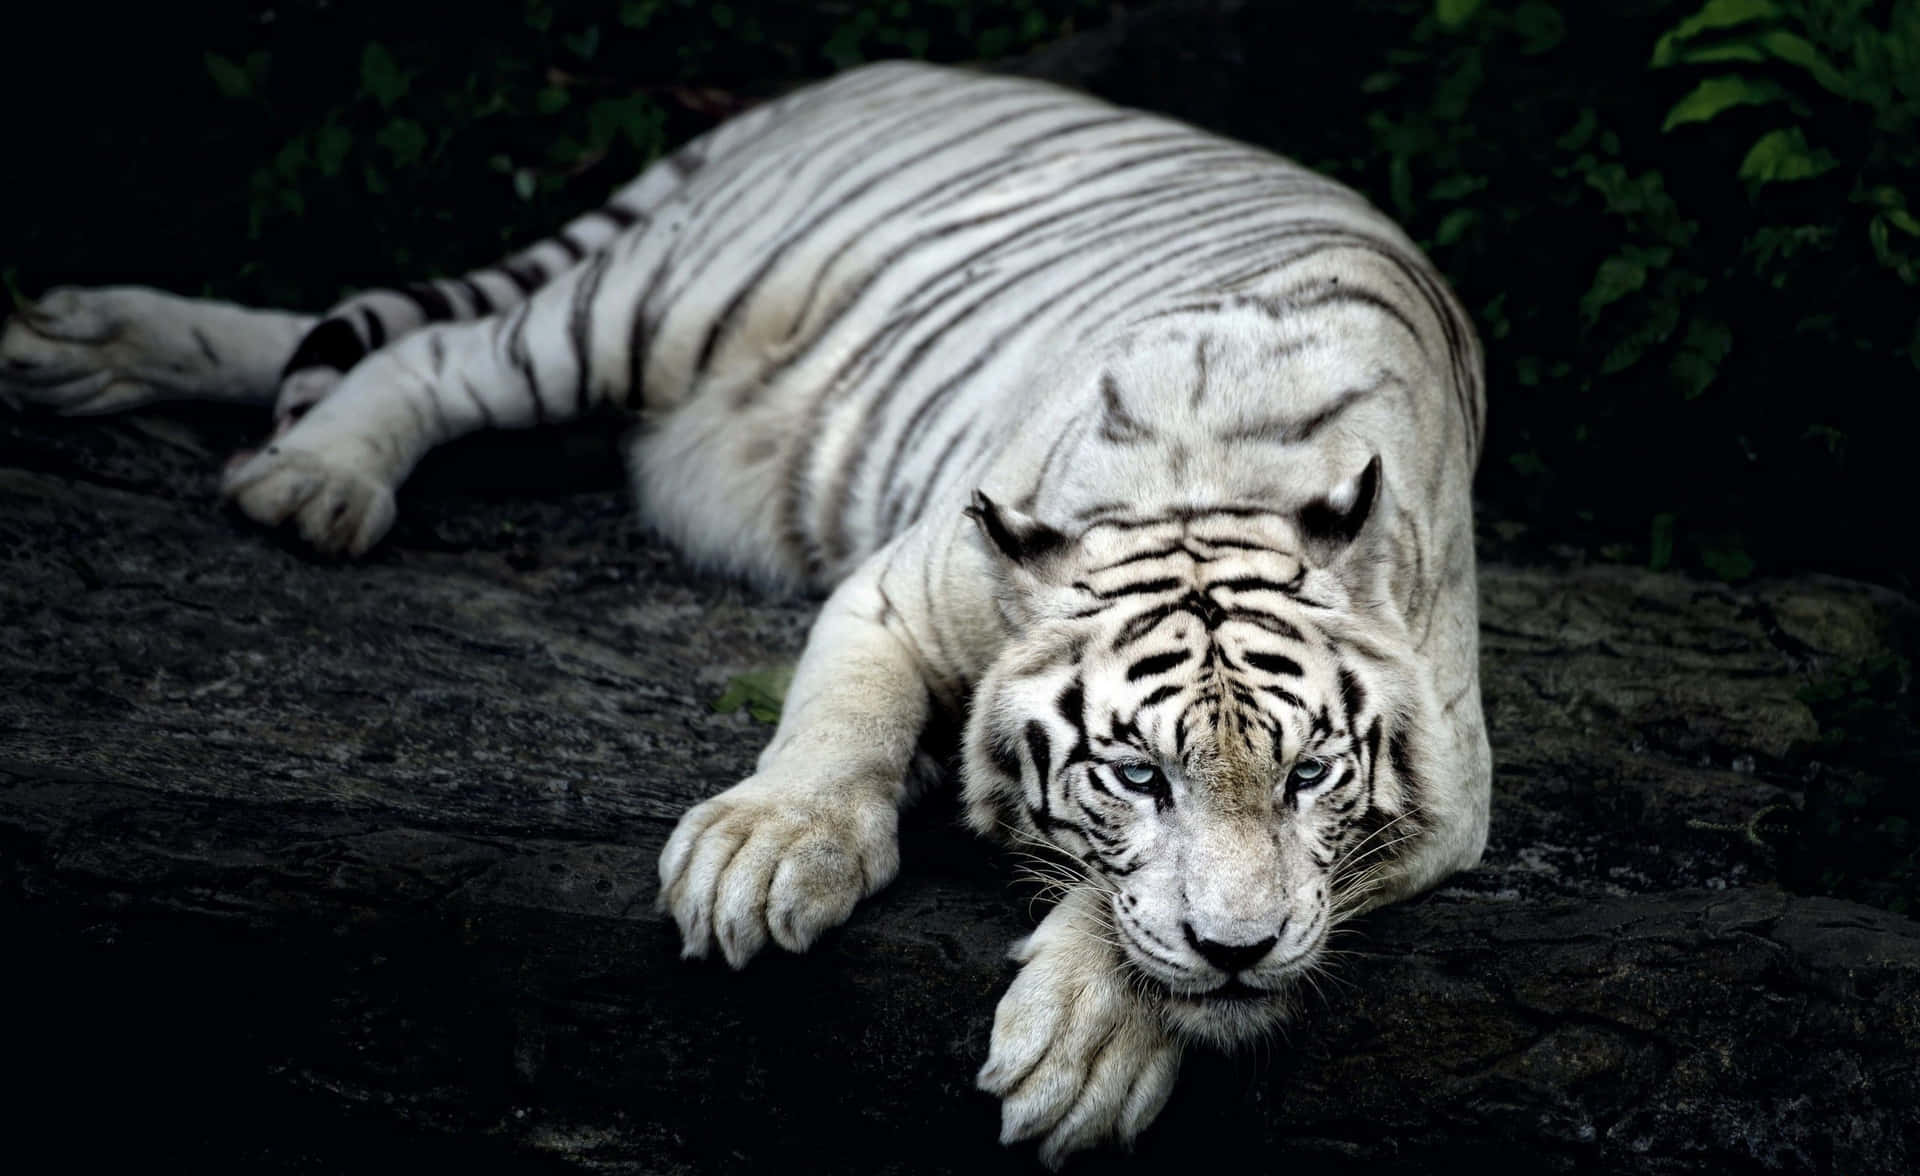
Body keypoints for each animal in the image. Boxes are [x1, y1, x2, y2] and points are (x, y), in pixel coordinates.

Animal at [0, 61, 1490, 1163]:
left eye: (1308, 777)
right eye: (1137, 776)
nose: (1239, 953)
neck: (1218, 477)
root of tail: (865, 73)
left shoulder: (1452, 789)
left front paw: (1092, 1040)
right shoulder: (896, 586)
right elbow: (835, 730)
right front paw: (764, 857)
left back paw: (77, 349)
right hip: (652, 304)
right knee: (424, 352)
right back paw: (304, 474)